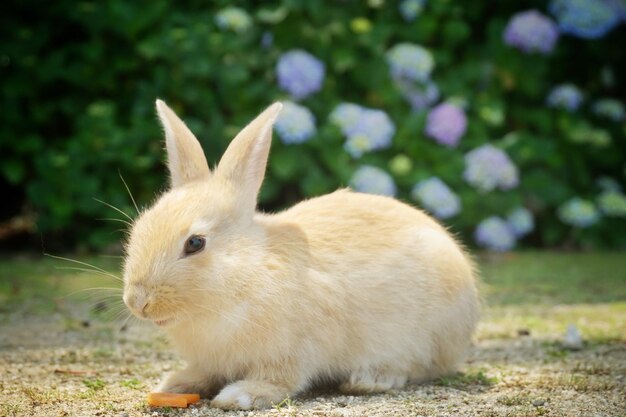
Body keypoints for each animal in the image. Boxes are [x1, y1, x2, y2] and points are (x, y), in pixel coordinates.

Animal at [124, 99, 480, 408]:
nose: (137, 302)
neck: (248, 272)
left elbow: (281, 380)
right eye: (140, 226)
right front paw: (174, 384)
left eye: (195, 243)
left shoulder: (293, 352)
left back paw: (370, 379)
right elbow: (203, 373)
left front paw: (241, 396)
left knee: (419, 367)